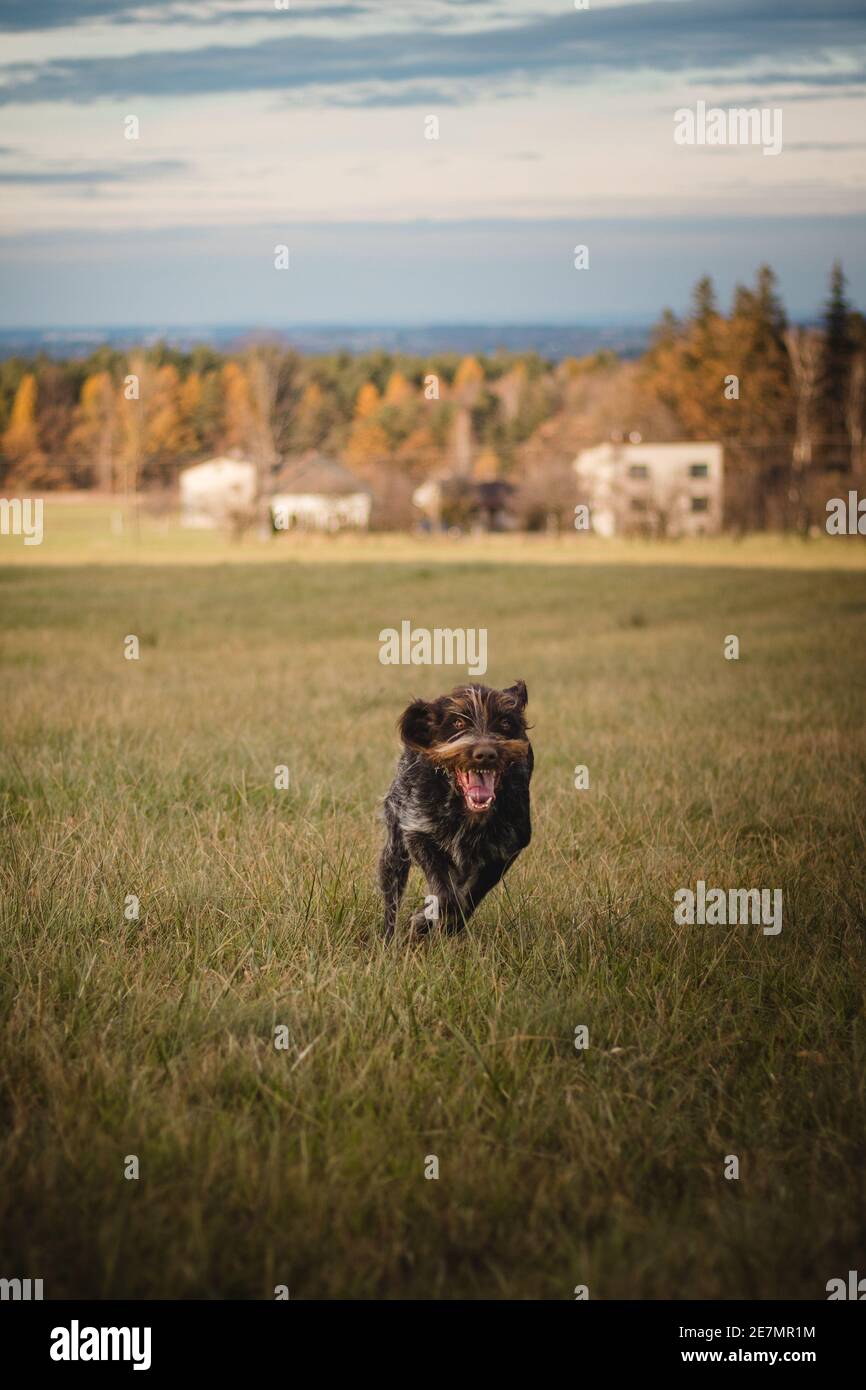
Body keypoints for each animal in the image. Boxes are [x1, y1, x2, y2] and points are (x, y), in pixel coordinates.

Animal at [380, 681, 536, 939]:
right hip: (394, 849)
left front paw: (428, 921)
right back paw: (387, 938)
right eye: (458, 723)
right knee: (391, 895)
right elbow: (445, 892)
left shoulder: (506, 849)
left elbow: (472, 893)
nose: (486, 754)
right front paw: (424, 921)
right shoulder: (418, 831)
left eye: (505, 722)